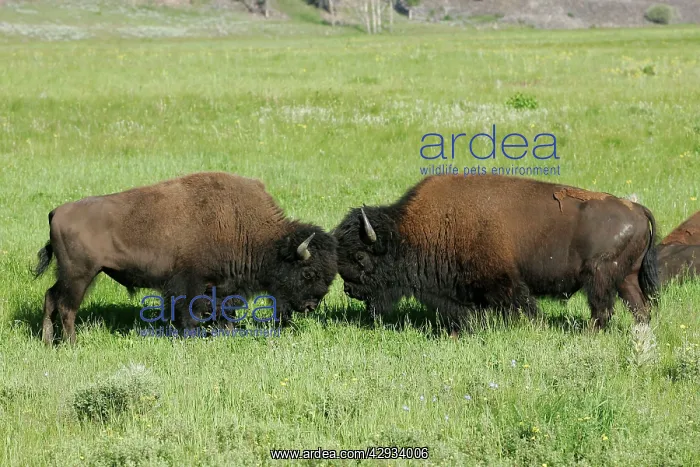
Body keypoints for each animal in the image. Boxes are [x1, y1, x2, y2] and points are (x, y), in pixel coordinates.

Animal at [33, 172, 338, 345]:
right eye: (308, 272)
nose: (311, 306)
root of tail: (56, 211)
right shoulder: (191, 283)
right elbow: (191, 312)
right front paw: (191, 336)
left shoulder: (223, 286)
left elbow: (224, 311)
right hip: (80, 275)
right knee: (67, 307)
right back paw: (72, 343)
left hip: (69, 275)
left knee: (50, 298)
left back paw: (47, 341)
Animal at [333, 174, 659, 335]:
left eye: (360, 257)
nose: (349, 290)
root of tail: (637, 209)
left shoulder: (505, 282)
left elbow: (524, 308)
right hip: (626, 279)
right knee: (640, 309)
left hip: (600, 277)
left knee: (602, 309)